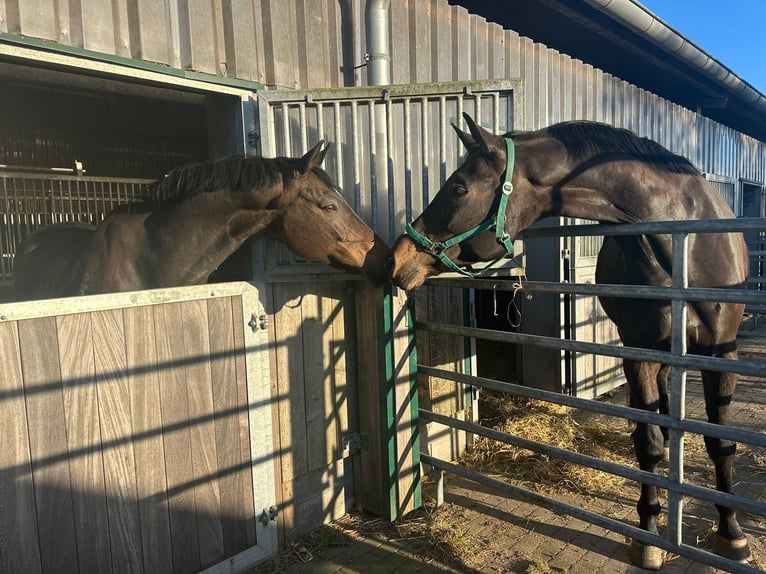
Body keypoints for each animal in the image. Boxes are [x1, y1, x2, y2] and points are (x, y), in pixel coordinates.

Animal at [387, 114, 750, 570]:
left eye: (459, 188)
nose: (397, 258)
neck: (685, 246)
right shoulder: (639, 354)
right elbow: (647, 446)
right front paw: (649, 534)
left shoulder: (723, 353)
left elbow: (721, 443)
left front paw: (732, 533)